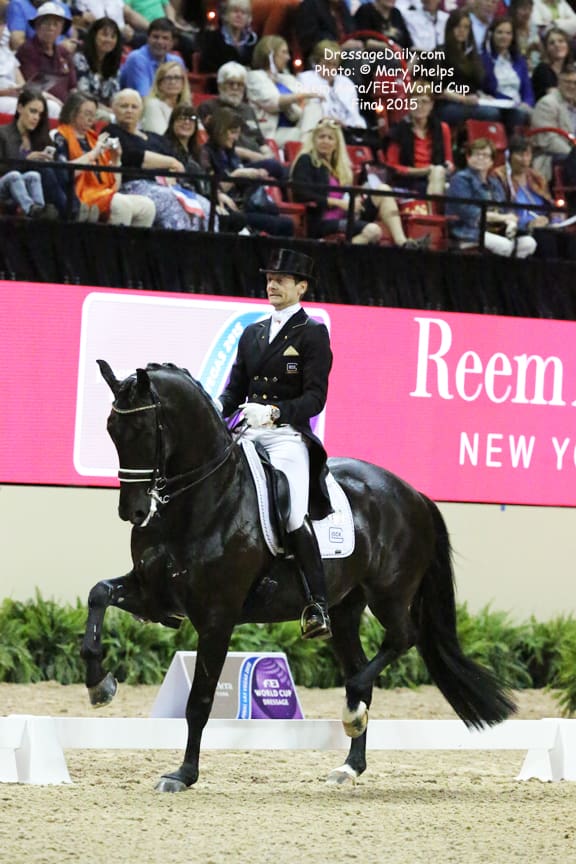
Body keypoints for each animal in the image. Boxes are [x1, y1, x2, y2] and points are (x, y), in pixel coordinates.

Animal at [81, 360, 516, 793]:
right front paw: (99, 684)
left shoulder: (218, 616)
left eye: (143, 430)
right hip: (344, 608)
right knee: (361, 665)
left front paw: (183, 775)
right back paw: (349, 764)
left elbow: (199, 701)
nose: (134, 512)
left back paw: (352, 711)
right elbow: (98, 594)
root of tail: (414, 494)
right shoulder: (153, 594)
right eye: (111, 428)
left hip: (389, 593)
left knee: (400, 640)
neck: (201, 500)